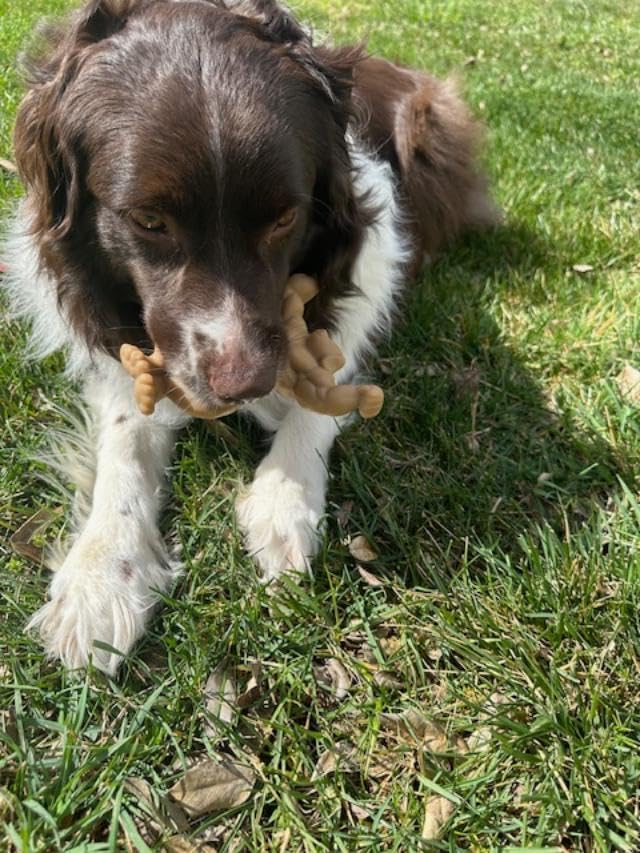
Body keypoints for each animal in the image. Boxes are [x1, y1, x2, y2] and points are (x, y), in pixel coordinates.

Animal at [2, 0, 498, 676]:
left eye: (286, 217)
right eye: (148, 221)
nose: (244, 385)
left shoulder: (366, 266)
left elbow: (325, 387)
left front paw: (284, 501)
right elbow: (125, 436)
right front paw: (101, 575)